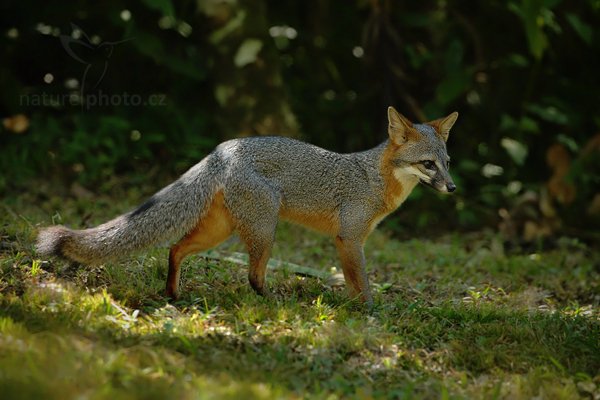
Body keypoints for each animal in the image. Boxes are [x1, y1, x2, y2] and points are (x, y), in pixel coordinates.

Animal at [36, 106, 460, 304]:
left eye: (447, 163)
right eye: (428, 165)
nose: (453, 187)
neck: (374, 178)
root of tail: (222, 150)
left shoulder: (350, 241)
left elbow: (355, 283)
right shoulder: (349, 239)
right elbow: (363, 285)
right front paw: (369, 314)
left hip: (221, 231)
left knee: (175, 248)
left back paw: (173, 295)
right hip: (265, 232)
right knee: (253, 276)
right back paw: (275, 302)